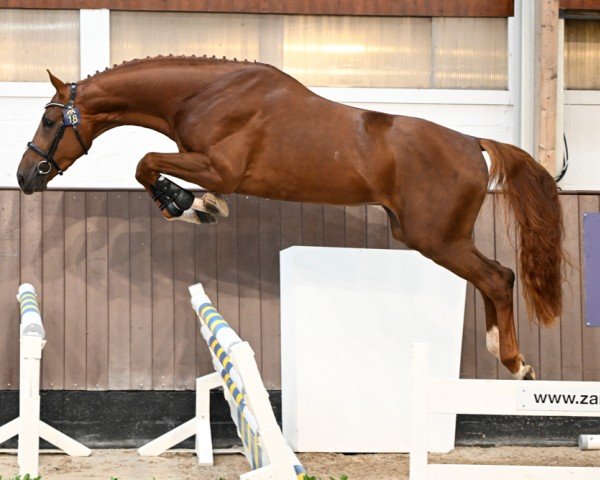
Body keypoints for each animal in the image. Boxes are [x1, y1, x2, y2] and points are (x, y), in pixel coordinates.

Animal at [16, 55, 564, 378]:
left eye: (48, 119)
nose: (24, 176)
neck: (206, 93)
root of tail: (474, 143)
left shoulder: (219, 166)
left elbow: (145, 162)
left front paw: (188, 206)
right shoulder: (209, 165)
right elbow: (150, 166)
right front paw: (199, 206)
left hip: (436, 238)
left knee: (499, 277)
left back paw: (514, 362)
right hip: (436, 237)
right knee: (494, 279)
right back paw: (505, 354)